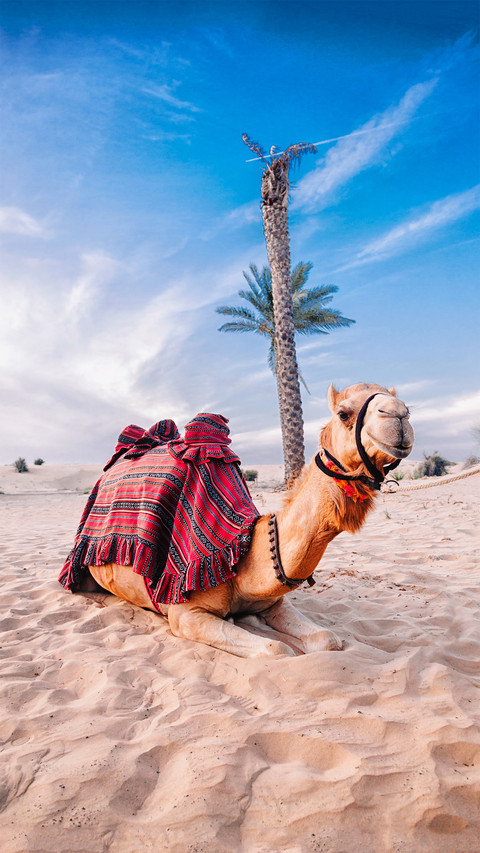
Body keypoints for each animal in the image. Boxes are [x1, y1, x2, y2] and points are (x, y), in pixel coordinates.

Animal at [68, 383, 414, 657]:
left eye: (405, 405)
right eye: (343, 413)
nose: (400, 415)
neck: (244, 550)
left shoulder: (274, 602)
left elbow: (328, 639)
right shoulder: (185, 614)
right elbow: (277, 648)